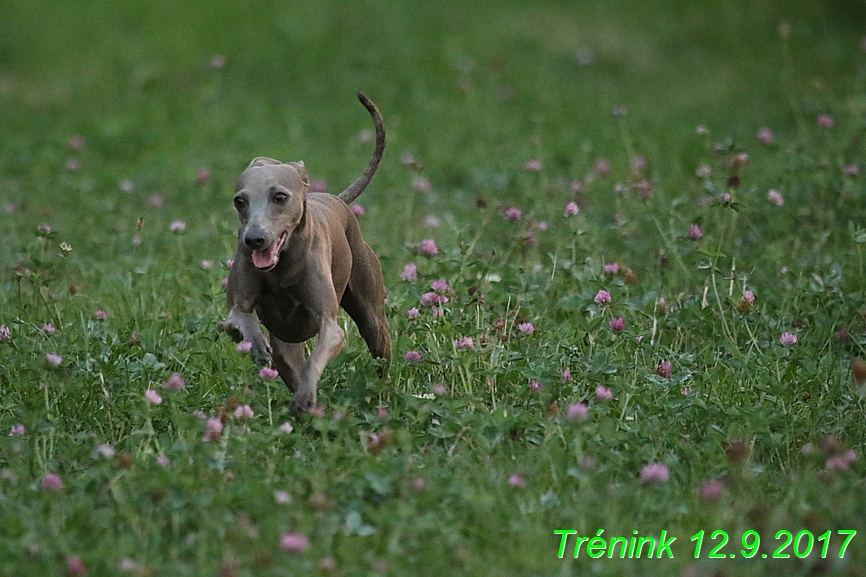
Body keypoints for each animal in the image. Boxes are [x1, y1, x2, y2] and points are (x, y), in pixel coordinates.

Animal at [218, 92, 390, 412]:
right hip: (287, 348)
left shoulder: (330, 327)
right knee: (287, 359)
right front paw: (254, 342)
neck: (282, 267)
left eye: (279, 197)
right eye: (239, 201)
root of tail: (335, 198)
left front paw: (305, 395)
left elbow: (317, 357)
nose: (254, 240)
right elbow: (240, 318)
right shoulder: (238, 307)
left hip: (373, 322)